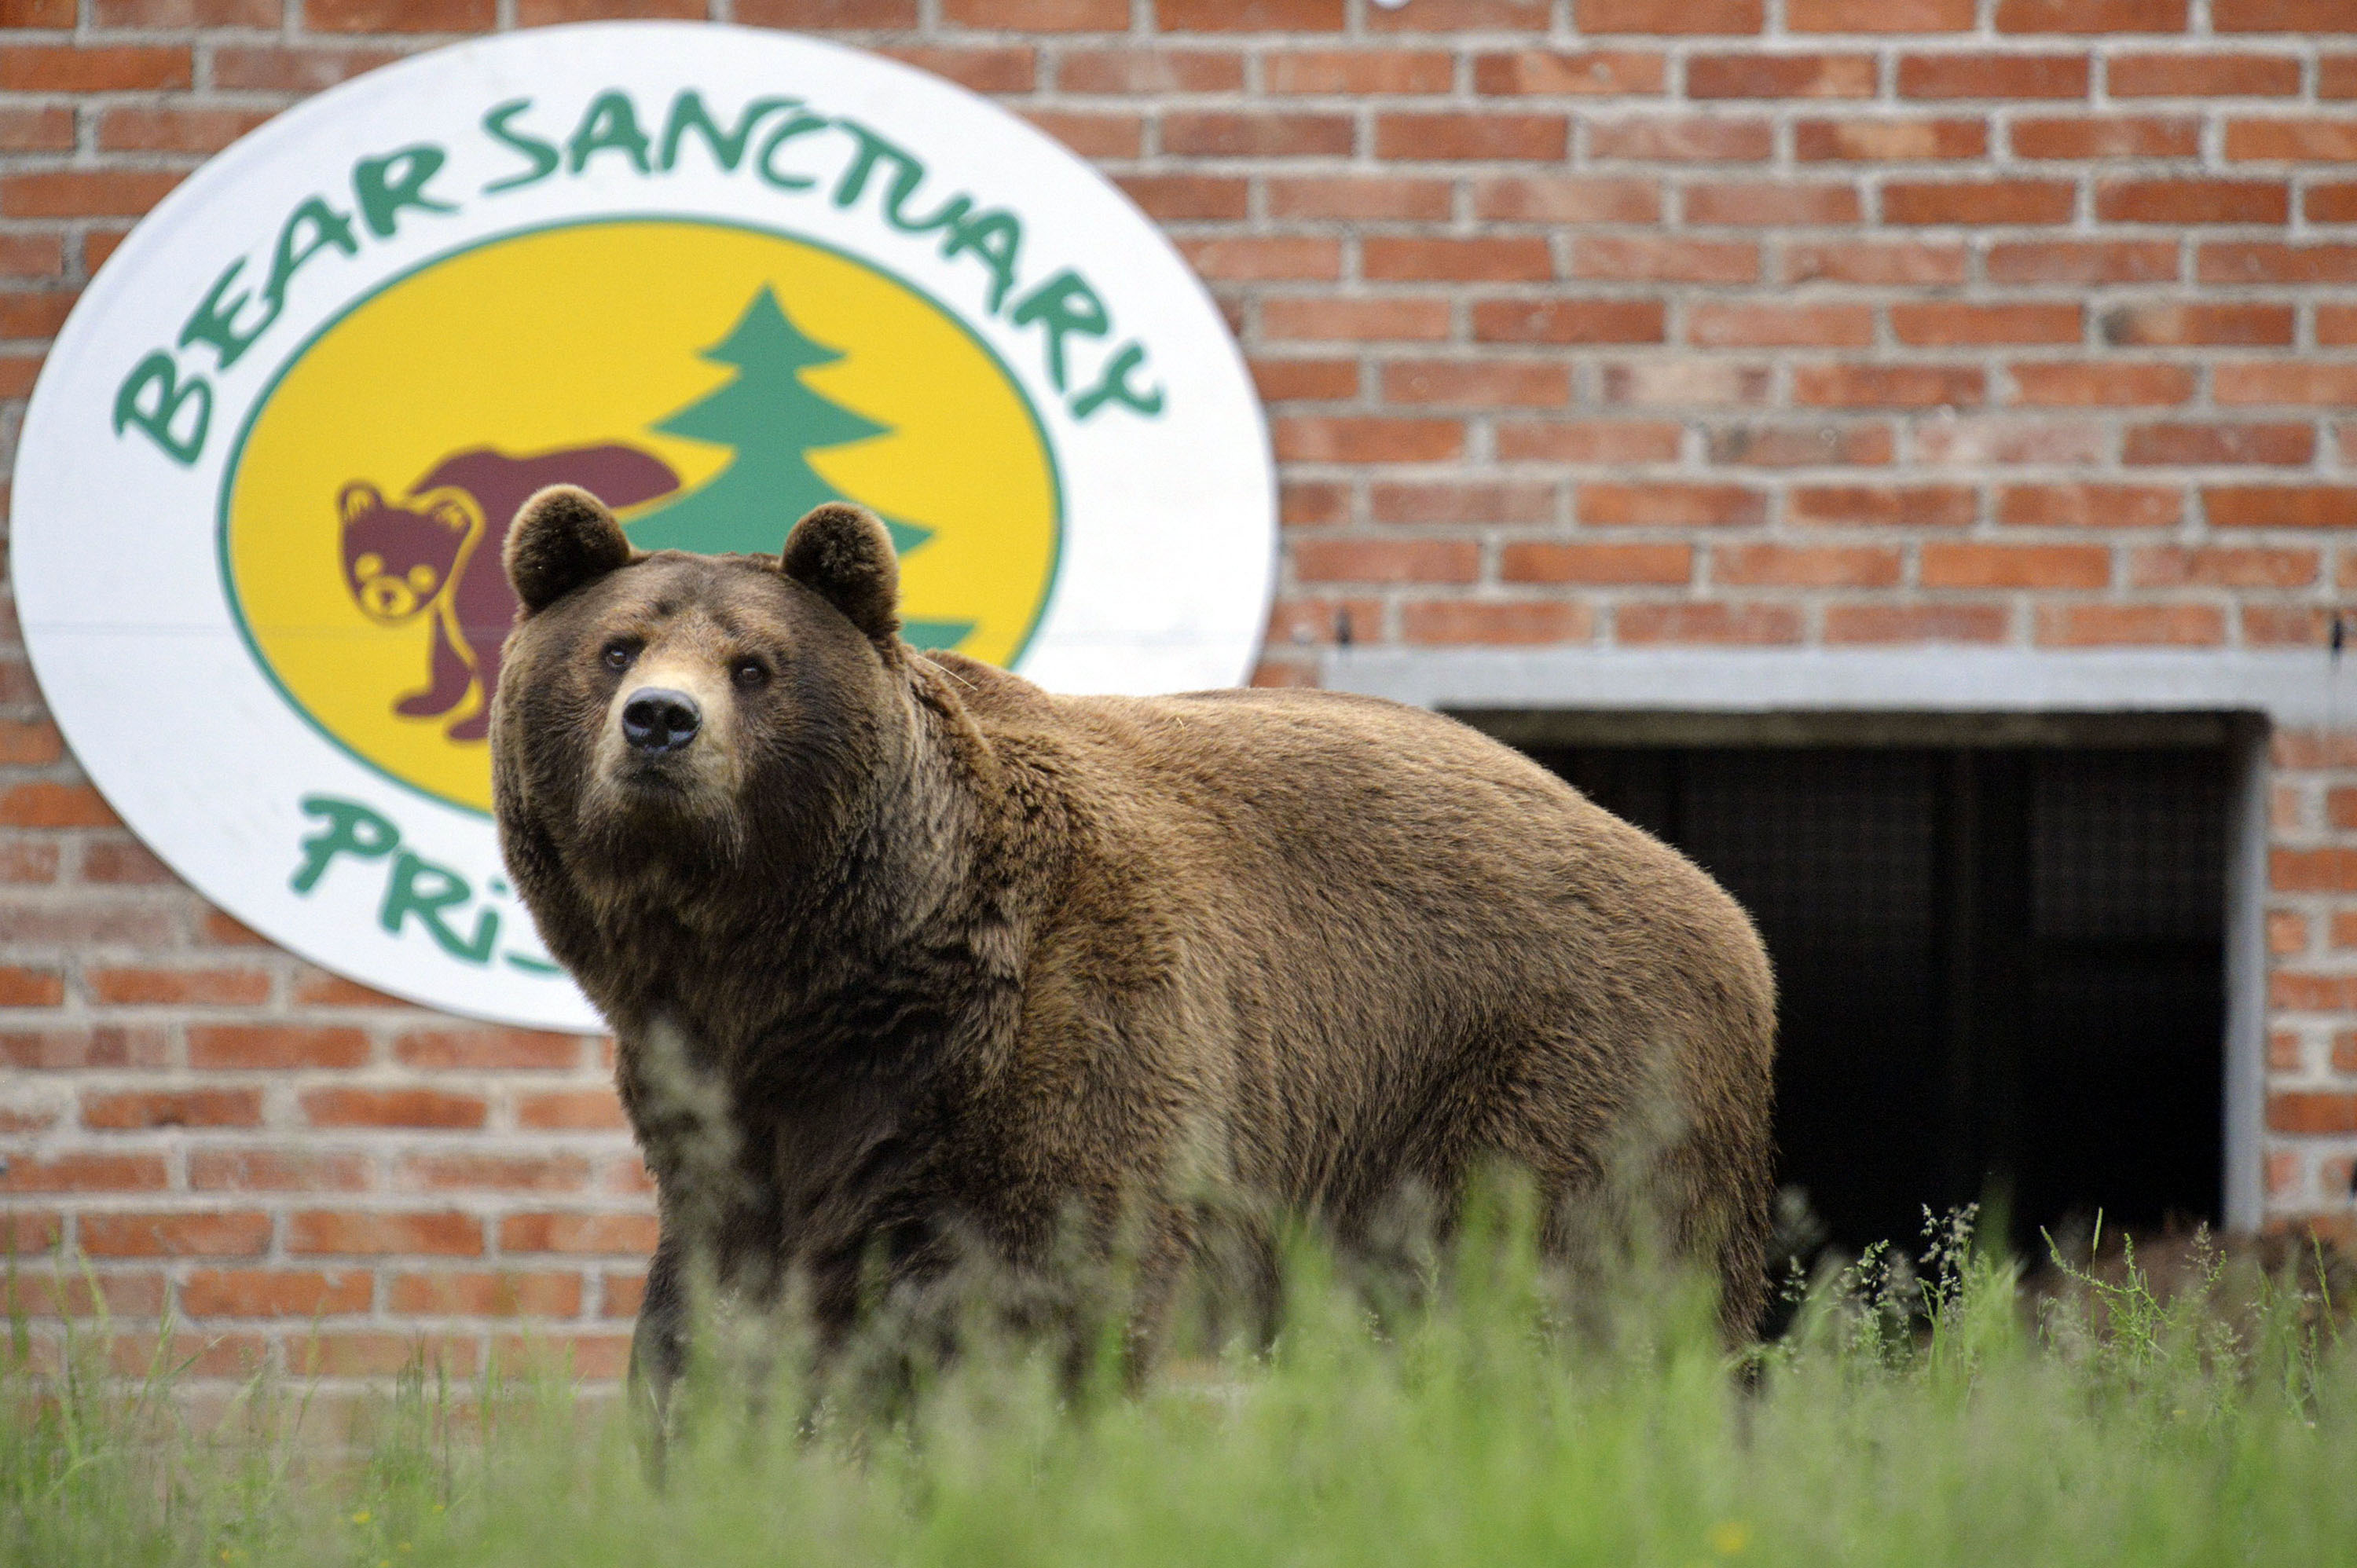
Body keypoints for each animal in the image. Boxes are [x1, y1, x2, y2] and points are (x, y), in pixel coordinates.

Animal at [493, 483, 1772, 1395]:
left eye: (755, 665)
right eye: (615, 647)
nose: (662, 723)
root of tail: (1724, 908)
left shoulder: (1061, 1024)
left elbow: (1046, 1291)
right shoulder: (722, 1092)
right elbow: (720, 1300)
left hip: (1548, 1060)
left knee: (1582, 1281)